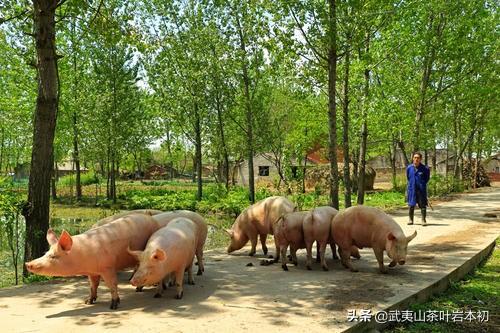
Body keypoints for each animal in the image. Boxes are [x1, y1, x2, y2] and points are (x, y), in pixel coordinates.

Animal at [24, 213, 160, 308]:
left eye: (53, 256)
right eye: (45, 253)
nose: (27, 264)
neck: (83, 256)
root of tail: (151, 218)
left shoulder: (108, 267)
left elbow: (112, 285)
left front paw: (113, 306)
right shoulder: (92, 272)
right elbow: (93, 286)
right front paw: (88, 302)